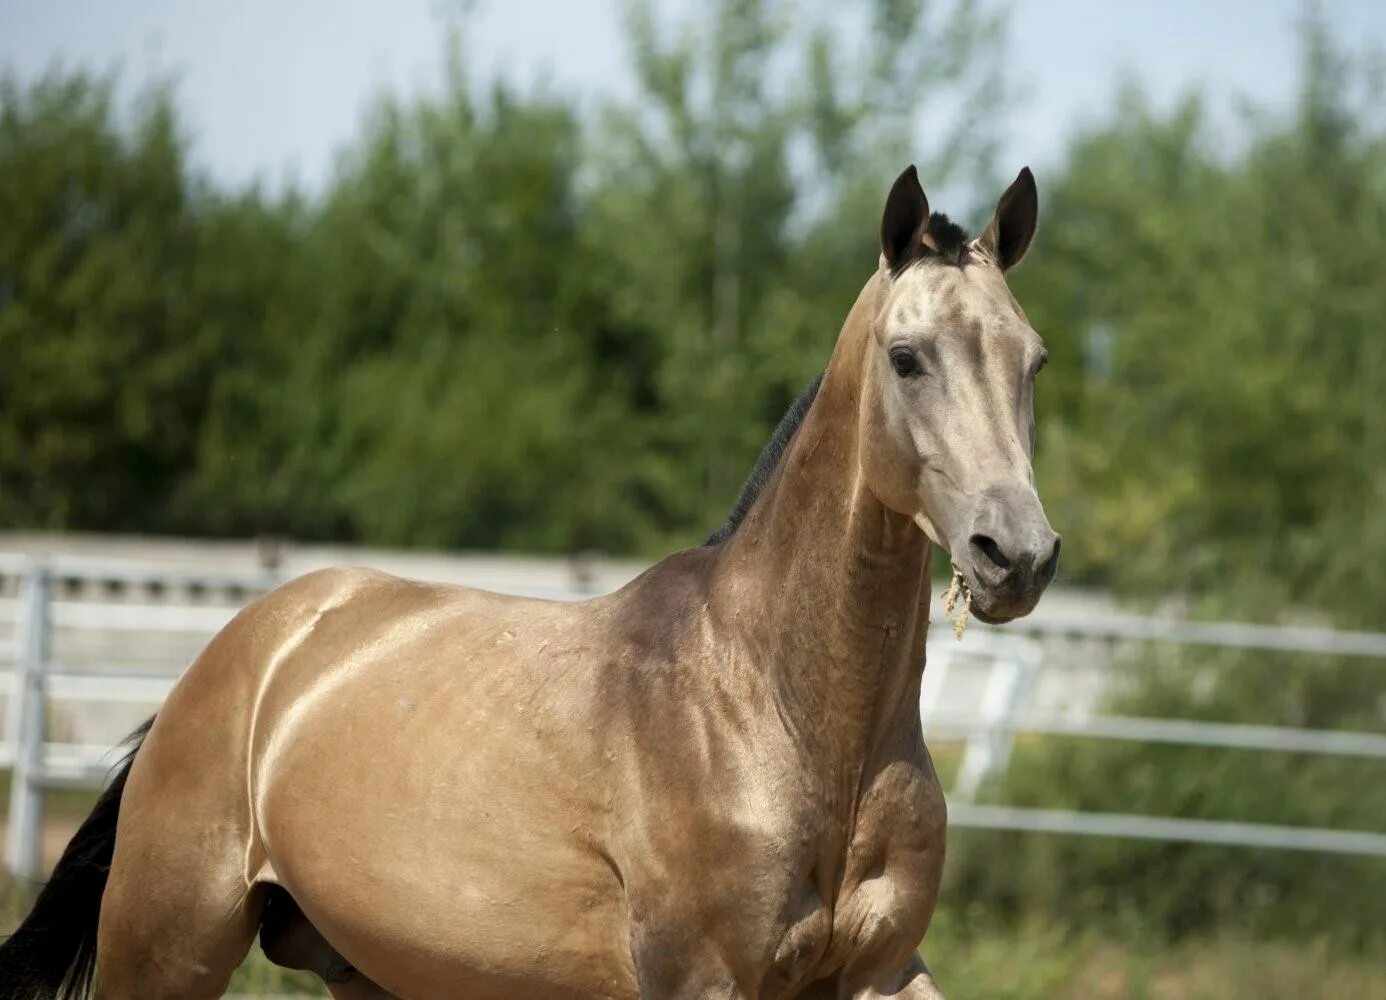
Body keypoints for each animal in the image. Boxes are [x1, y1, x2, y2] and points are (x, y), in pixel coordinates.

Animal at [2, 163, 1058, 997]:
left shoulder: (882, 970)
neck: (775, 710)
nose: (1017, 555)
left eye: (1034, 361)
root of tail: (237, 658)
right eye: (907, 358)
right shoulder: (702, 980)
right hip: (167, 951)